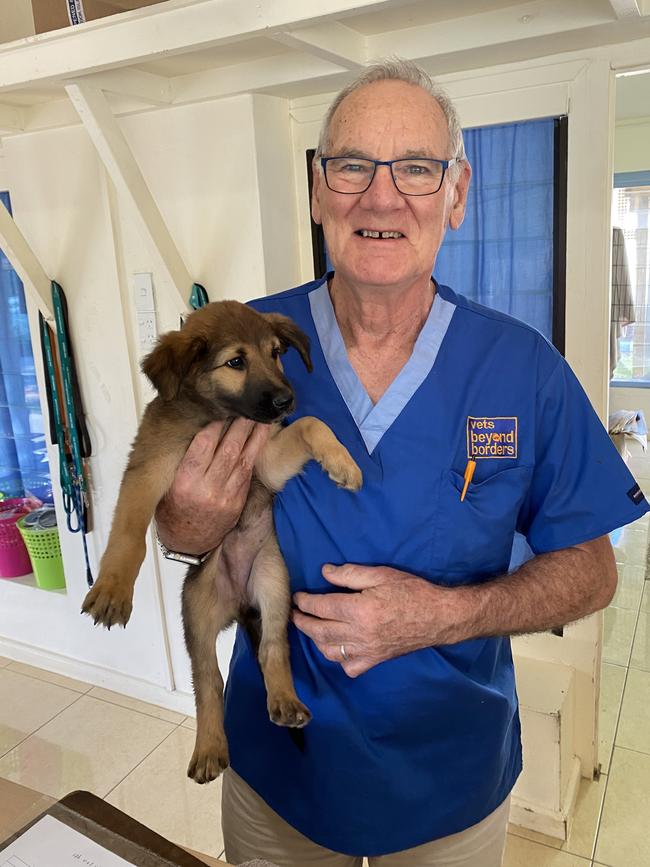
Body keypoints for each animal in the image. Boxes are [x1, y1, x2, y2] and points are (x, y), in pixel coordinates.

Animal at [80, 302, 360, 784]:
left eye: (275, 353)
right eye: (235, 362)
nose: (285, 400)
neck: (217, 415)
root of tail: (239, 602)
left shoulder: (265, 461)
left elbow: (310, 424)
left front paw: (342, 463)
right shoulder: (150, 468)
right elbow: (129, 531)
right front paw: (113, 588)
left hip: (273, 581)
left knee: (272, 649)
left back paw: (284, 701)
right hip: (197, 614)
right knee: (209, 682)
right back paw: (210, 747)